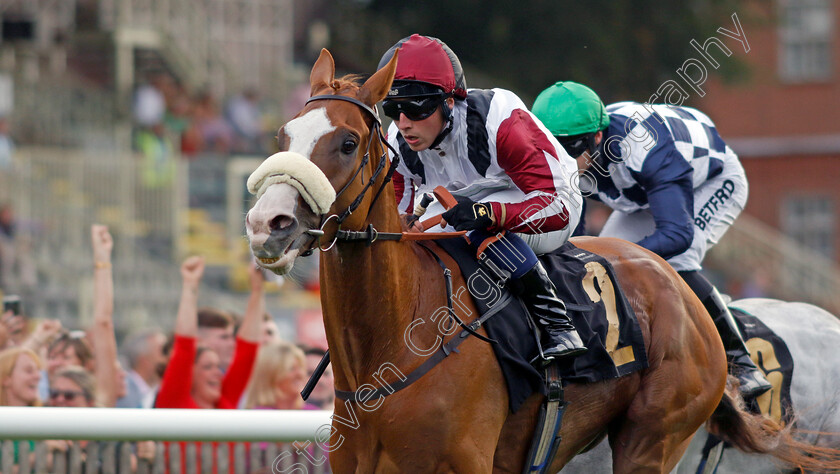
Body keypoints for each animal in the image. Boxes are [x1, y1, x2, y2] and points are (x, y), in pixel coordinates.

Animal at [244, 50, 832, 472]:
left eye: (347, 143)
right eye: (282, 135)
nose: (268, 223)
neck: (390, 346)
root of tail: (678, 289)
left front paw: (467, 215)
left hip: (652, 439)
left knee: (513, 238)